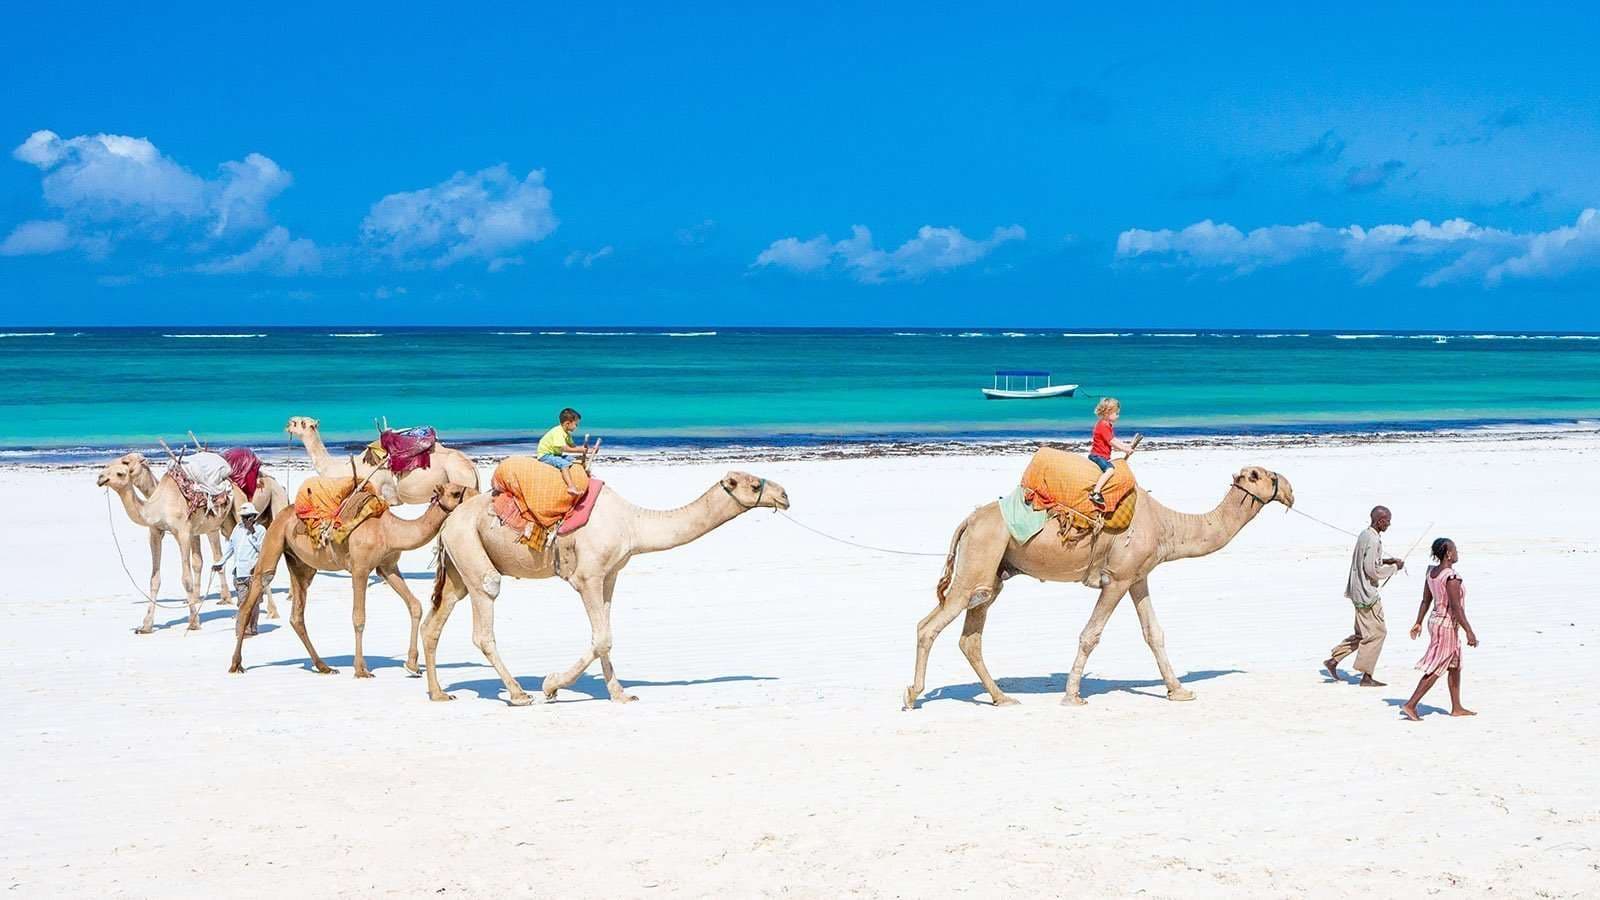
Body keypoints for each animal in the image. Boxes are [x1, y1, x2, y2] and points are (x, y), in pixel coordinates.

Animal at [97, 453, 235, 633]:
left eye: (121, 471)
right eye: (107, 467)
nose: (100, 478)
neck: (158, 506)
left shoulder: (183, 533)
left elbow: (186, 578)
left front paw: (193, 622)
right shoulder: (155, 533)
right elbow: (154, 579)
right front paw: (146, 625)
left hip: (223, 523)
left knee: (223, 556)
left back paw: (230, 601)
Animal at [228, 482, 472, 678]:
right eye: (455, 492)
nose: (475, 495)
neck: (388, 531)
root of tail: (282, 514)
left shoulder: (387, 567)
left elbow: (415, 605)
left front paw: (412, 665)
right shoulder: (360, 568)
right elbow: (359, 617)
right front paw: (361, 670)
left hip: (301, 565)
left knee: (297, 614)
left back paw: (324, 666)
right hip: (273, 540)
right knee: (255, 591)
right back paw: (236, 664)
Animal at [422, 471, 789, 706]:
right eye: (753, 483)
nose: (784, 495)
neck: (633, 524)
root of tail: (447, 523)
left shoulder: (610, 576)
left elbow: (605, 636)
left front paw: (621, 694)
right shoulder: (587, 577)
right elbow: (602, 638)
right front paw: (551, 685)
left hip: (458, 568)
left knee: (434, 623)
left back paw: (439, 694)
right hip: (472, 552)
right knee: (485, 615)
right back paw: (518, 694)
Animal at [904, 465, 1294, 709]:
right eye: (1264, 475)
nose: (1290, 490)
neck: (1167, 525)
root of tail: (969, 520)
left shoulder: (1138, 577)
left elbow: (1154, 633)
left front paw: (1180, 691)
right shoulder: (1117, 579)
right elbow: (1090, 635)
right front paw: (1072, 696)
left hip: (992, 574)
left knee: (970, 636)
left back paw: (1002, 698)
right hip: (978, 562)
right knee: (929, 625)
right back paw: (912, 695)